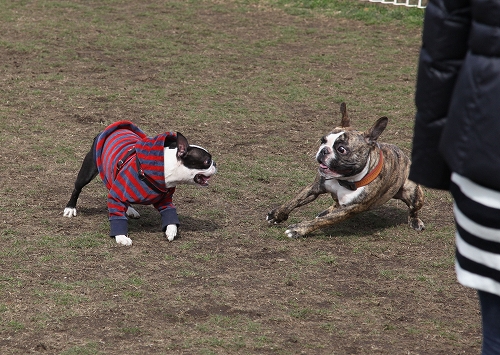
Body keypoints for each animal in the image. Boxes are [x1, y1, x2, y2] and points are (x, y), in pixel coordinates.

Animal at [62, 121, 215, 246]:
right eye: (207, 161)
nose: (216, 164)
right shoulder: (117, 195)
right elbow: (117, 214)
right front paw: (121, 237)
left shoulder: (164, 199)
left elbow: (170, 213)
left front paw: (171, 231)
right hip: (89, 169)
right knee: (77, 188)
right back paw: (70, 208)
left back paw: (129, 209)